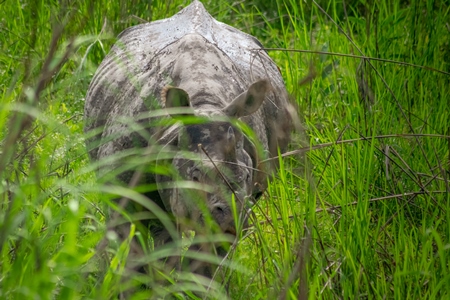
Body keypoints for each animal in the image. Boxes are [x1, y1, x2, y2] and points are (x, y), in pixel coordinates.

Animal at [84, 0, 298, 276]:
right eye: (194, 176)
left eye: (247, 177)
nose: (231, 215)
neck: (204, 104)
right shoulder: (122, 187)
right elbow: (132, 246)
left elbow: (207, 261)